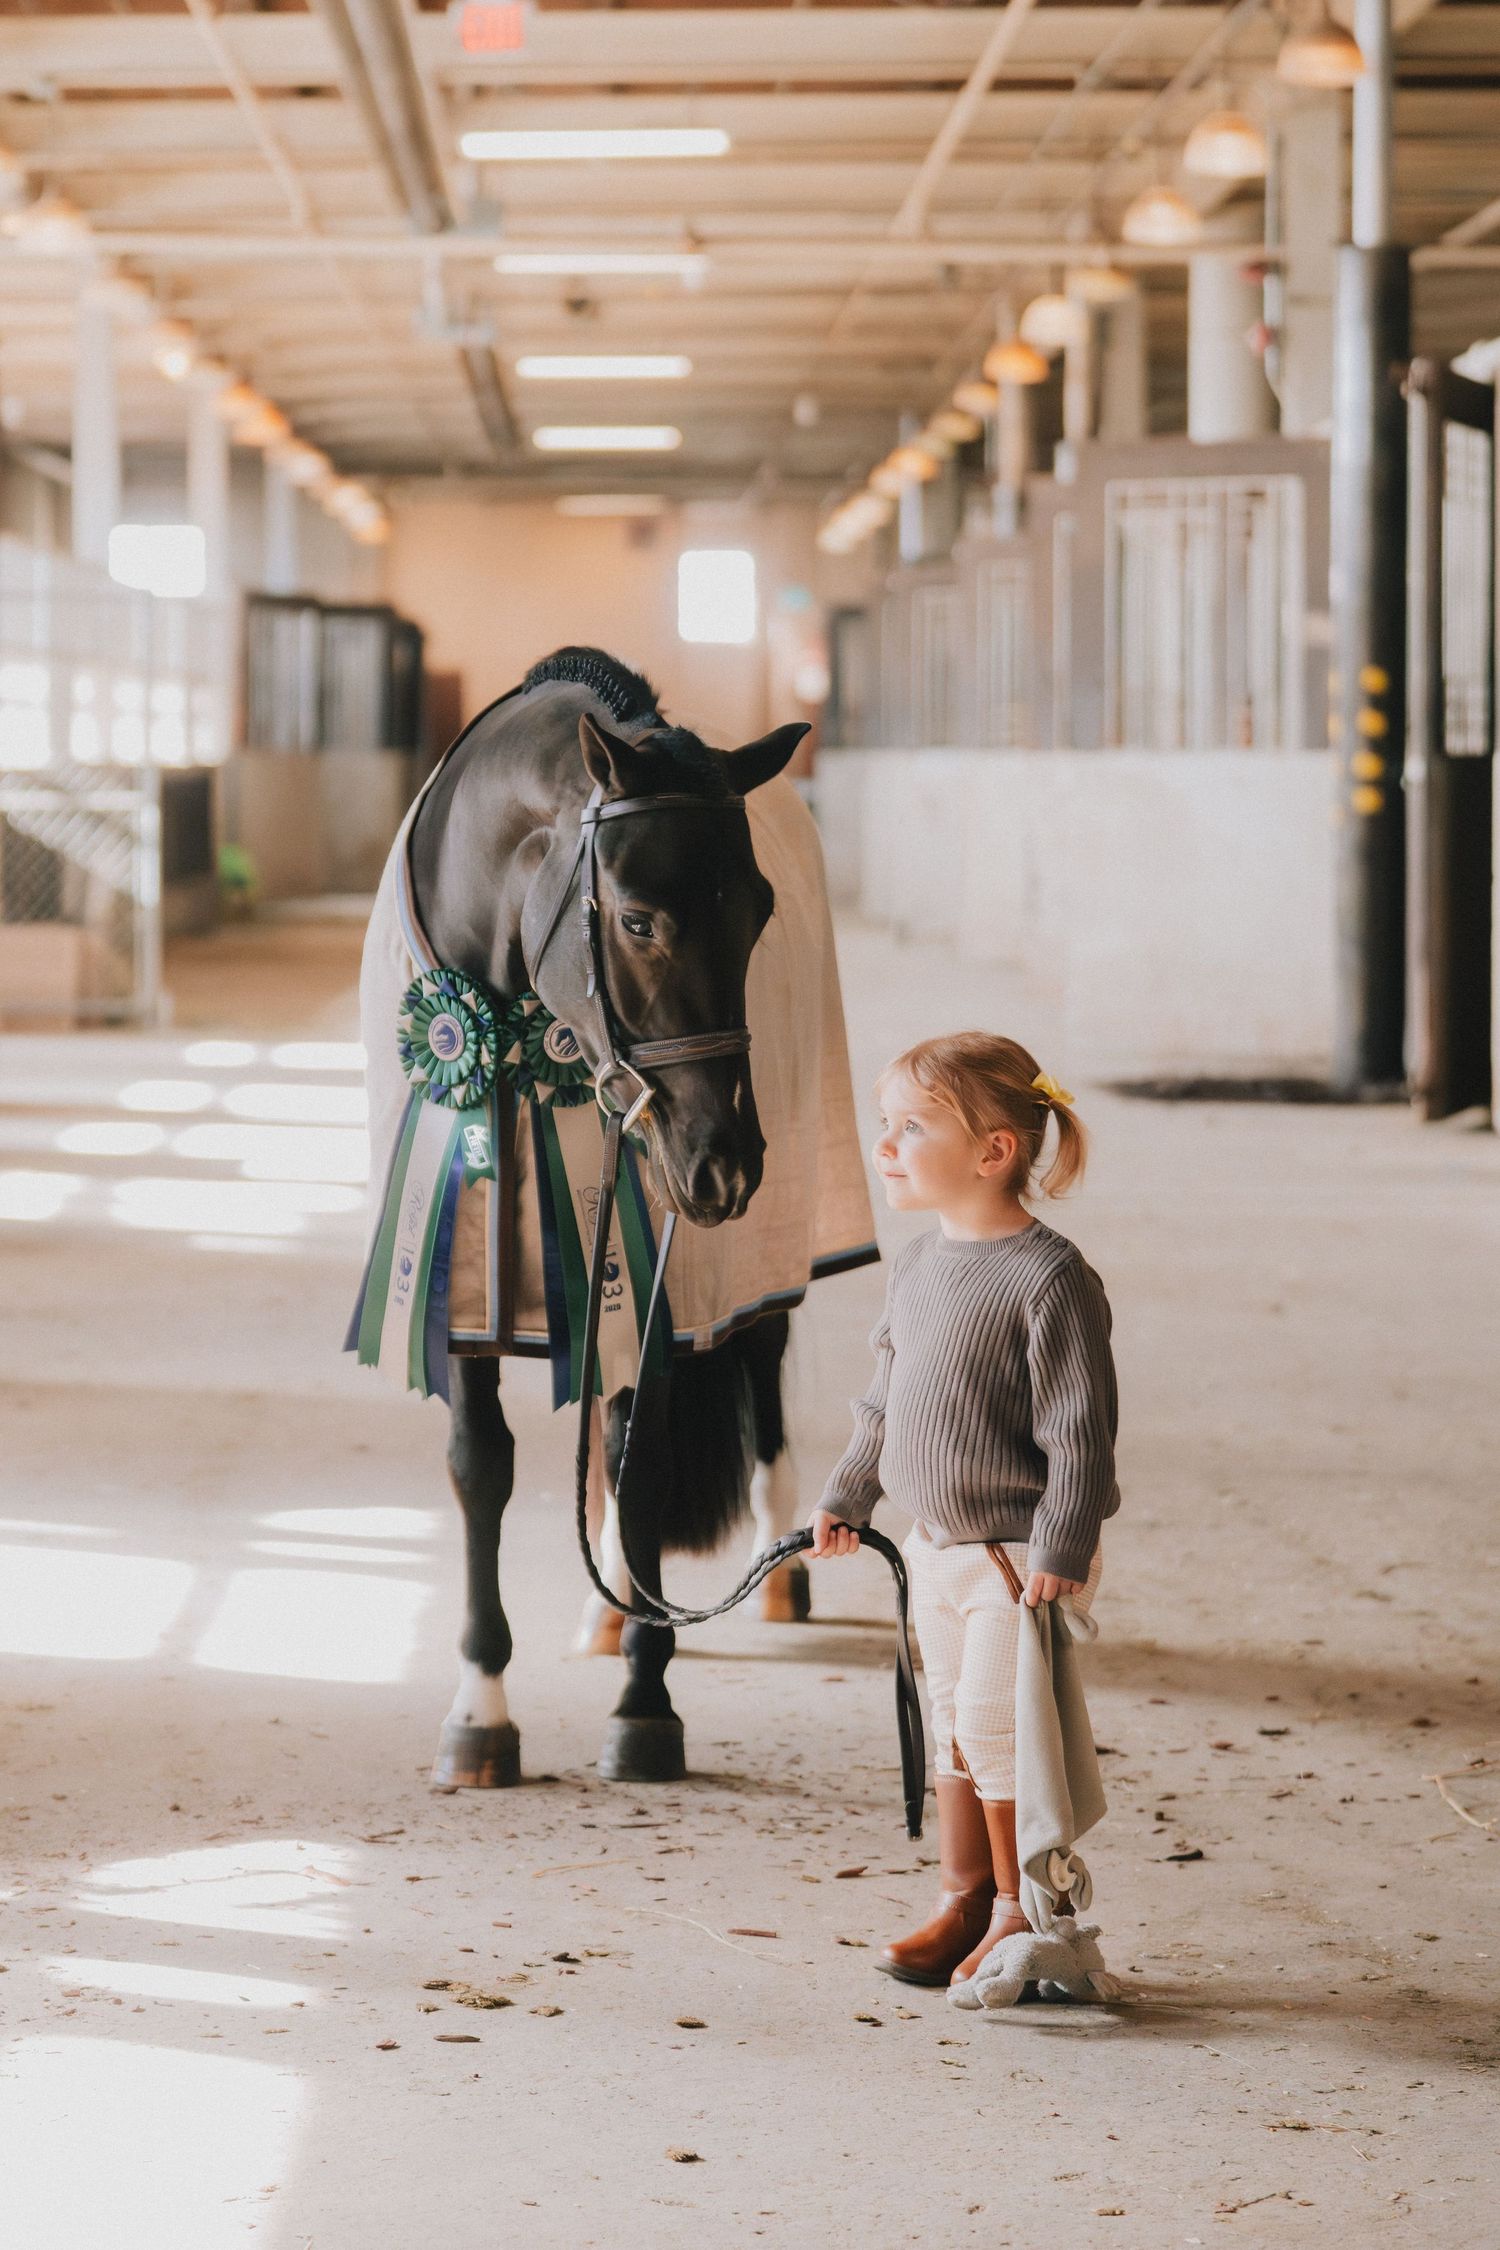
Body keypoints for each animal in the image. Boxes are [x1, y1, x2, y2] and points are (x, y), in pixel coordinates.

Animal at [357, 646, 876, 1787]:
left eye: (760, 912)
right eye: (637, 919)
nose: (724, 1165)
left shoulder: (654, 1283)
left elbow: (638, 1469)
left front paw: (646, 1709)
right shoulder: (463, 1292)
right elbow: (484, 1470)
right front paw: (481, 1714)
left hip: (761, 1251)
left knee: (760, 1360)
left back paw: (775, 1573)